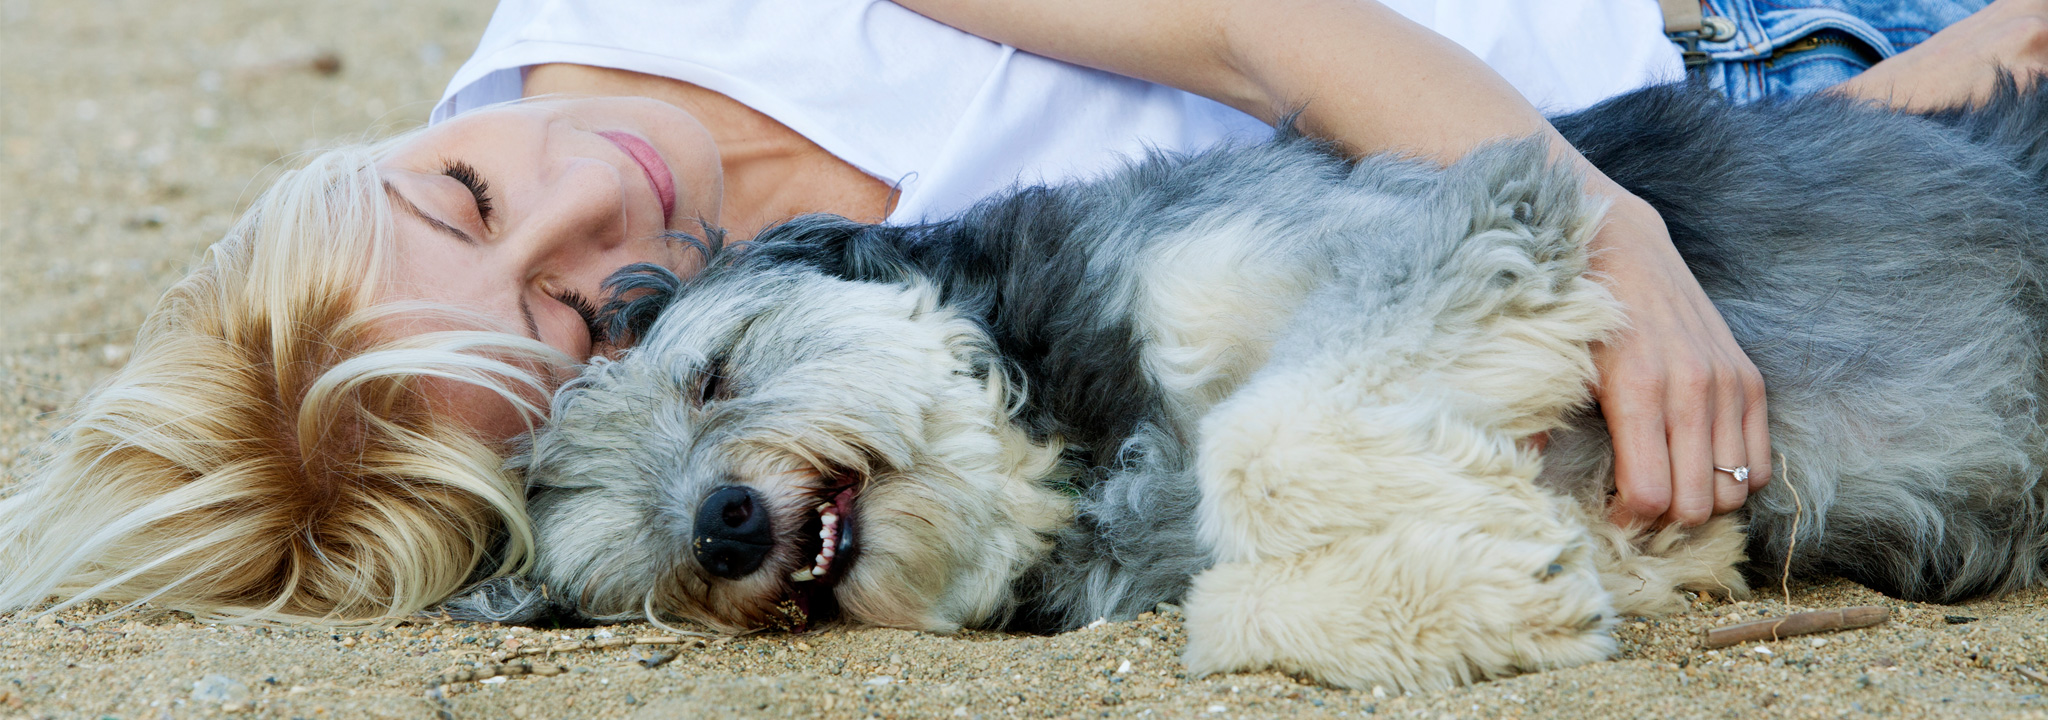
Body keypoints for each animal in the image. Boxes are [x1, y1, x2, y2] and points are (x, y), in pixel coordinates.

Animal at [456, 85, 2048, 691]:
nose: (720, 526)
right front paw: (1495, 581)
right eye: (649, 572)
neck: (1085, 435)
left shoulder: (1471, 221)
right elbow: (1230, 606)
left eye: (715, 374)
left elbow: (1263, 433)